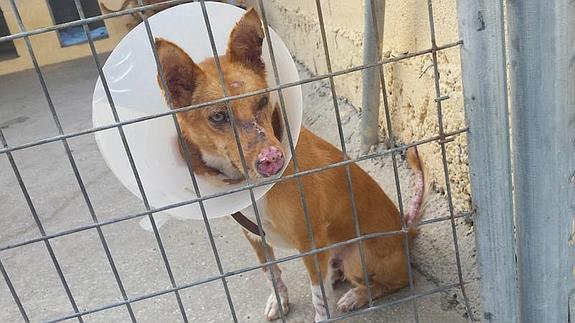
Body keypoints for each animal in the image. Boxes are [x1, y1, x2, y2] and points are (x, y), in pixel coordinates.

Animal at [155, 8, 430, 322]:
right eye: (217, 116)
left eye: (263, 101)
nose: (272, 158)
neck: (257, 190)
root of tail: (406, 231)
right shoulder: (256, 239)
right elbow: (272, 274)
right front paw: (280, 301)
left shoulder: (310, 243)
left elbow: (318, 297)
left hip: (358, 257)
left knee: (398, 280)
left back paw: (356, 295)